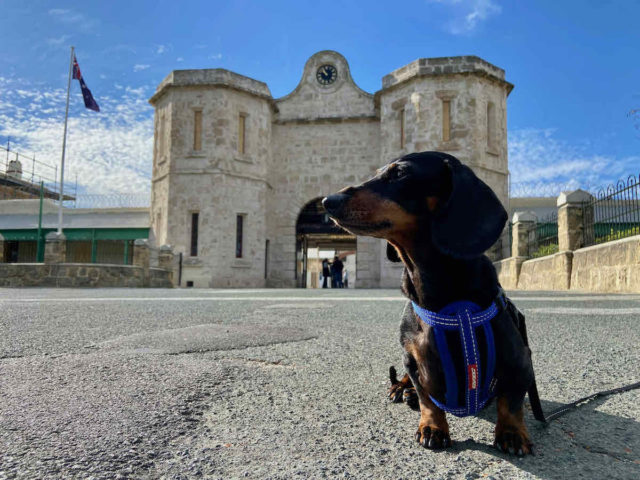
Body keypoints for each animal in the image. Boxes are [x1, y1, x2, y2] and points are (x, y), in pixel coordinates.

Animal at [322, 152, 536, 456]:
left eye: (400, 173)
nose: (327, 201)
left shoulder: (521, 362)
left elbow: (512, 401)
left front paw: (512, 432)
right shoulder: (412, 359)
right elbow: (428, 398)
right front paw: (433, 427)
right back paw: (402, 389)